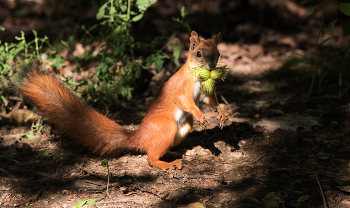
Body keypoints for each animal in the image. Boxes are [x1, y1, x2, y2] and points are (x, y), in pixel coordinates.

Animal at [19, 31, 226, 170]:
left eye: (218, 53)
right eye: (198, 53)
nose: (211, 66)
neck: (198, 76)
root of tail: (139, 137)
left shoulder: (205, 93)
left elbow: (210, 101)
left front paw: (222, 113)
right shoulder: (181, 89)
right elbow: (187, 102)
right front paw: (201, 116)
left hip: (182, 129)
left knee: (156, 150)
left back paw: (178, 152)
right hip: (167, 127)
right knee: (150, 158)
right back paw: (168, 163)